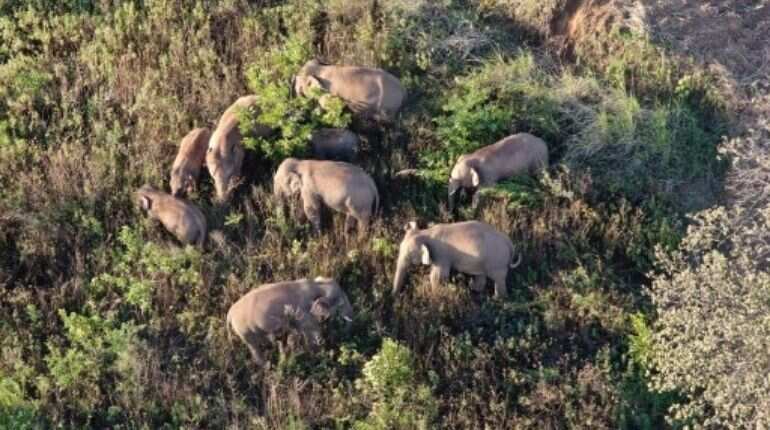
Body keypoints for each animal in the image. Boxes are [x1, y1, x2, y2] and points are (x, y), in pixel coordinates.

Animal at [392, 221, 522, 299]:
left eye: (409, 254)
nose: (396, 296)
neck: (426, 232)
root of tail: (510, 244)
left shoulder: (441, 254)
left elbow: (438, 276)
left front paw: (435, 295)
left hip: (497, 261)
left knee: (499, 279)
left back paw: (498, 299)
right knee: (481, 276)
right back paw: (473, 289)